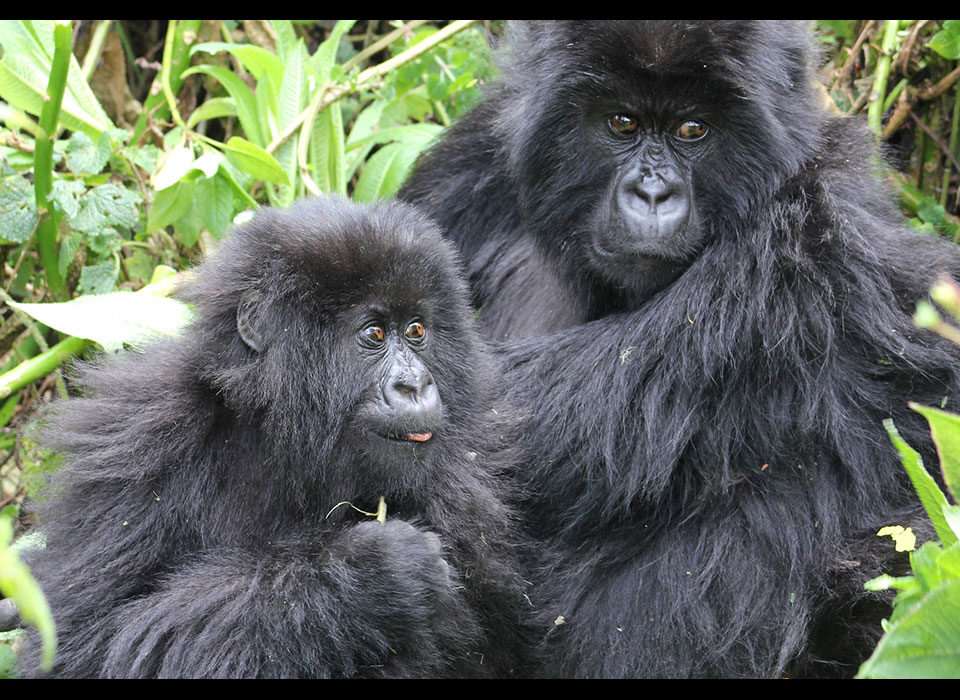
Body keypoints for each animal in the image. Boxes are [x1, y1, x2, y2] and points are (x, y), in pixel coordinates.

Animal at [18, 198, 532, 680]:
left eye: (417, 330)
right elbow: (85, 642)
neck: (280, 434)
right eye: (374, 333)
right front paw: (370, 578)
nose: (416, 385)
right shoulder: (135, 439)